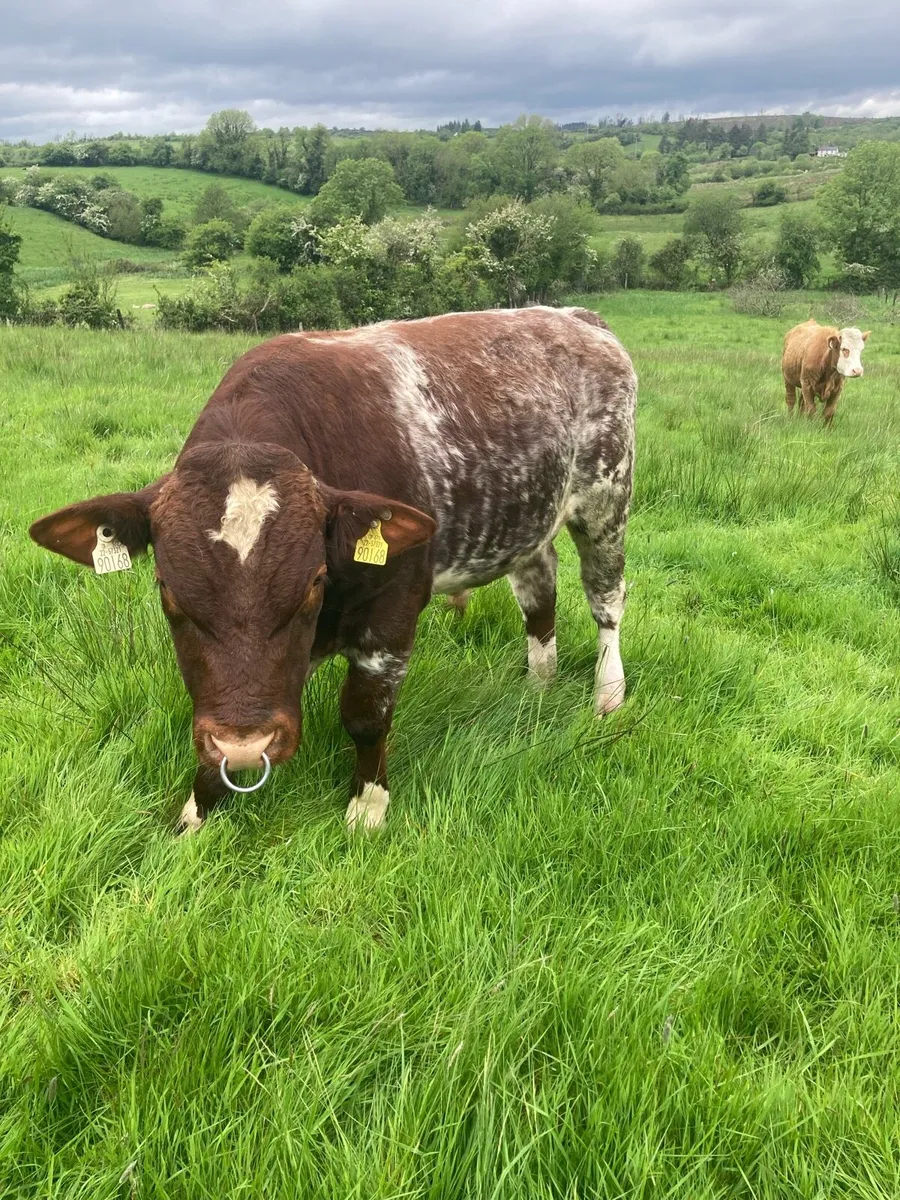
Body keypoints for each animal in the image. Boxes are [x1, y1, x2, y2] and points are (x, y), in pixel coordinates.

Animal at [29, 306, 637, 834]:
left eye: (313, 584)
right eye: (168, 592)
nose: (245, 747)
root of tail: (573, 316)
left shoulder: (393, 611)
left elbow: (366, 715)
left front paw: (367, 808)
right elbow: (215, 721)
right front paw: (195, 815)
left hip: (606, 500)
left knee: (605, 600)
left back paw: (608, 695)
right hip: (530, 519)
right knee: (539, 592)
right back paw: (539, 684)